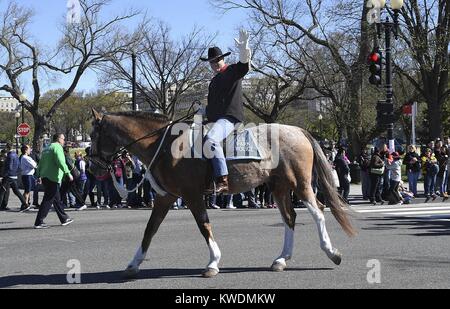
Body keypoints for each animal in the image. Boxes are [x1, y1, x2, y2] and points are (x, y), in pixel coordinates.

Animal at [88, 109, 356, 278]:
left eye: (93, 135)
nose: (92, 167)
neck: (165, 145)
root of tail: (298, 130)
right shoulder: (166, 197)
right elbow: (150, 230)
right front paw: (133, 263)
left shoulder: (192, 194)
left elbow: (203, 225)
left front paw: (213, 262)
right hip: (279, 186)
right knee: (290, 218)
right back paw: (281, 259)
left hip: (300, 184)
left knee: (317, 211)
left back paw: (332, 252)